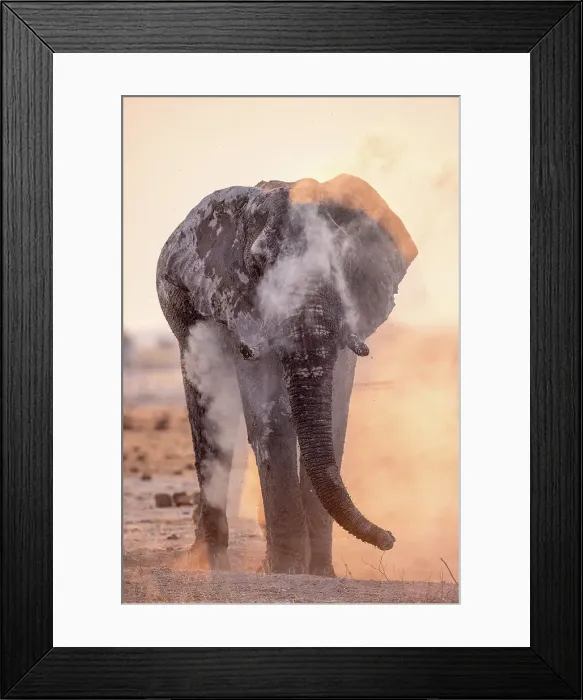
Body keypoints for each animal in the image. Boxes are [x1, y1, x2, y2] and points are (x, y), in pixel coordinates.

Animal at [156, 173, 417, 576]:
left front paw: (321, 575)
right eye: (258, 265)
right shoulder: (241, 302)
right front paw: (286, 571)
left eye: (343, 263)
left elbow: (335, 416)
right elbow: (271, 418)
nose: (389, 539)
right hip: (177, 301)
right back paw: (208, 563)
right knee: (212, 408)